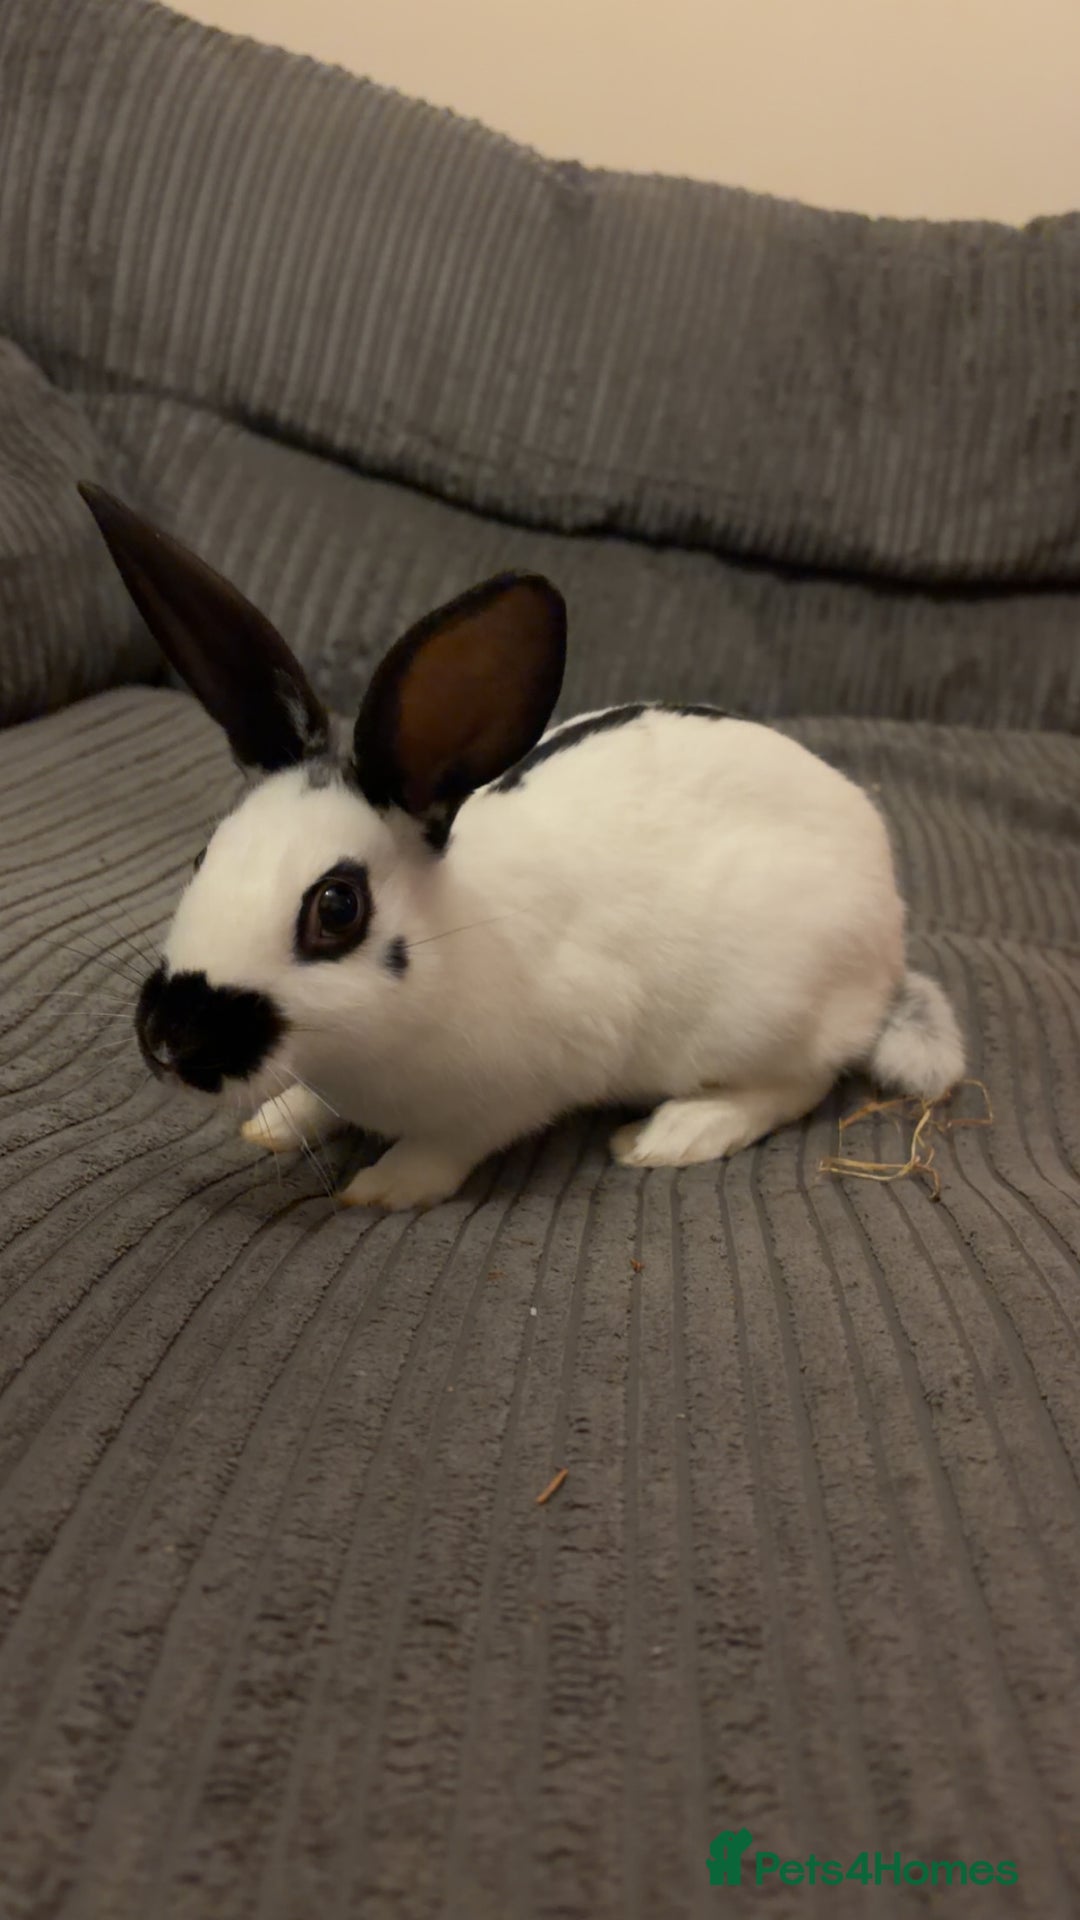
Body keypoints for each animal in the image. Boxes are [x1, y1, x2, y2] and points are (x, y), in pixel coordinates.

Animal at [79, 484, 965, 1212]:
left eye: (337, 908)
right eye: (203, 857)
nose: (168, 1042)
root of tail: (888, 938)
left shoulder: (524, 1085)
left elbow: (448, 1146)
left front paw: (384, 1188)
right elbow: (307, 1106)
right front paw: (271, 1124)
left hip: (768, 1013)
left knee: (796, 1086)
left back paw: (670, 1134)